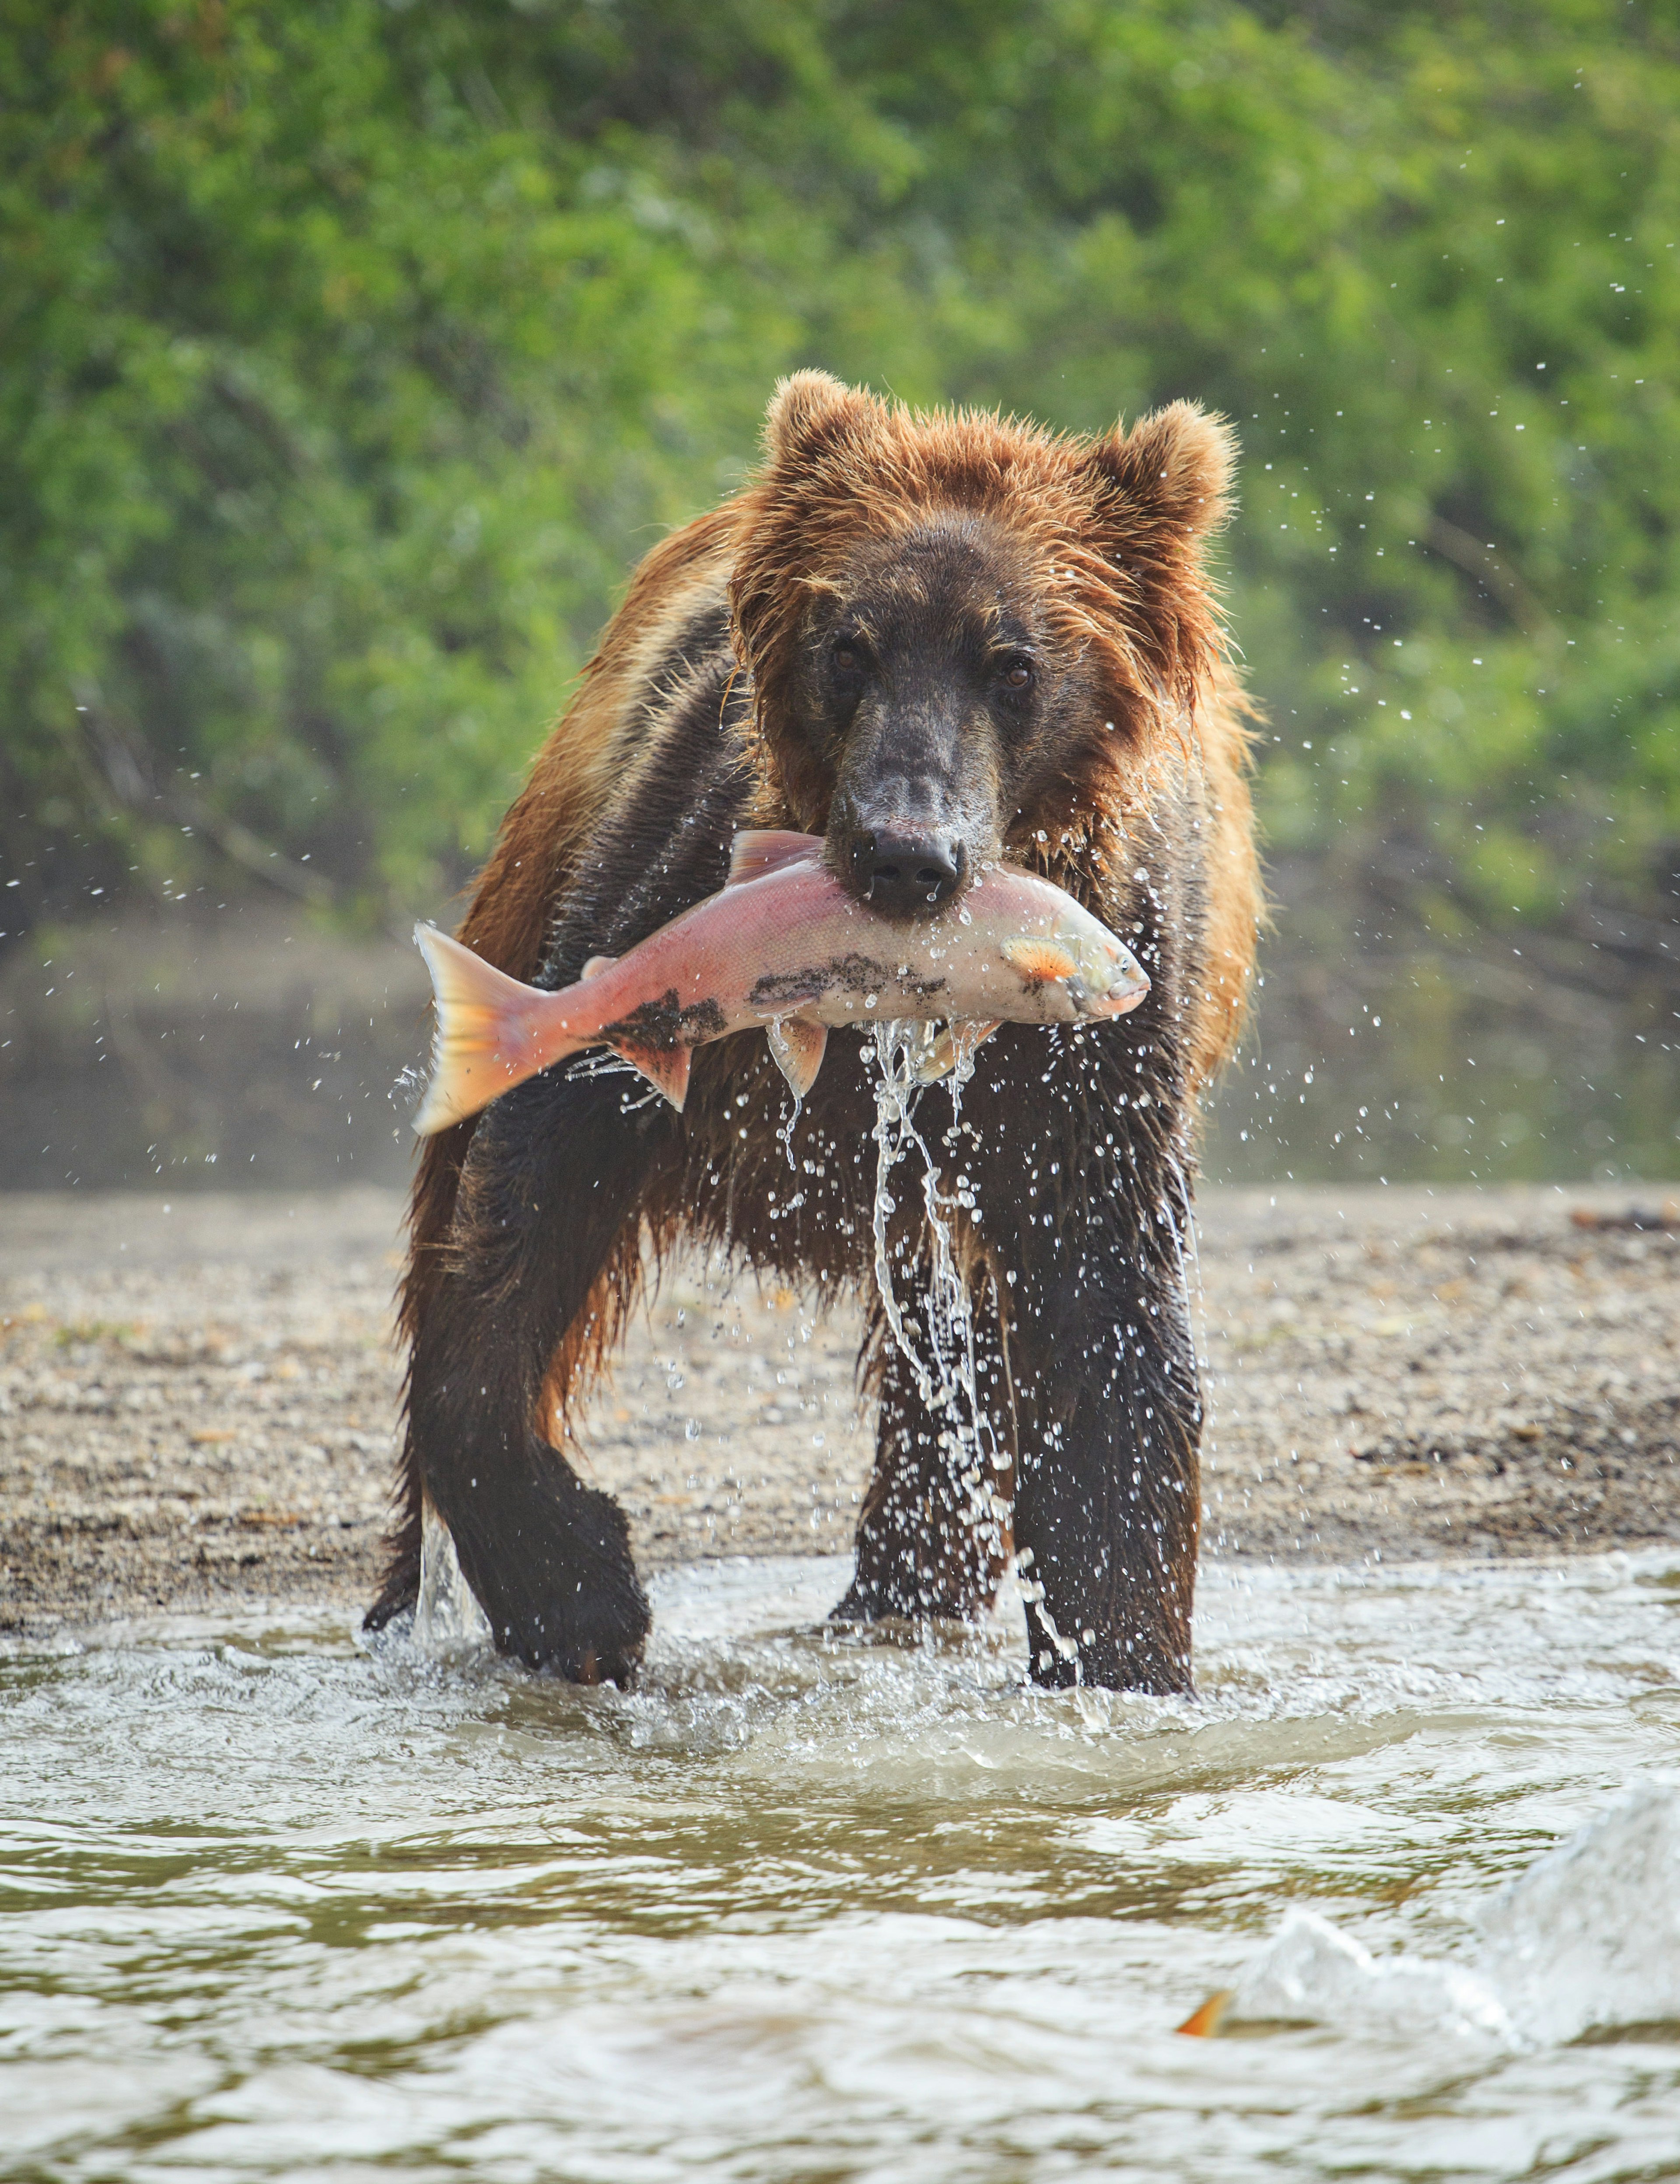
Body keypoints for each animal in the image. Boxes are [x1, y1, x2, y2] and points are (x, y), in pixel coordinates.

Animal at [367, 371, 1258, 1686]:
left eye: (1014, 664)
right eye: (850, 648)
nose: (904, 853)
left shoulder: (1100, 1040)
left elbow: (1109, 1316)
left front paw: (1120, 1657)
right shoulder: (668, 893)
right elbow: (537, 1183)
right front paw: (580, 1592)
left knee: (951, 1365)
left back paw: (900, 1589)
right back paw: (406, 1601)